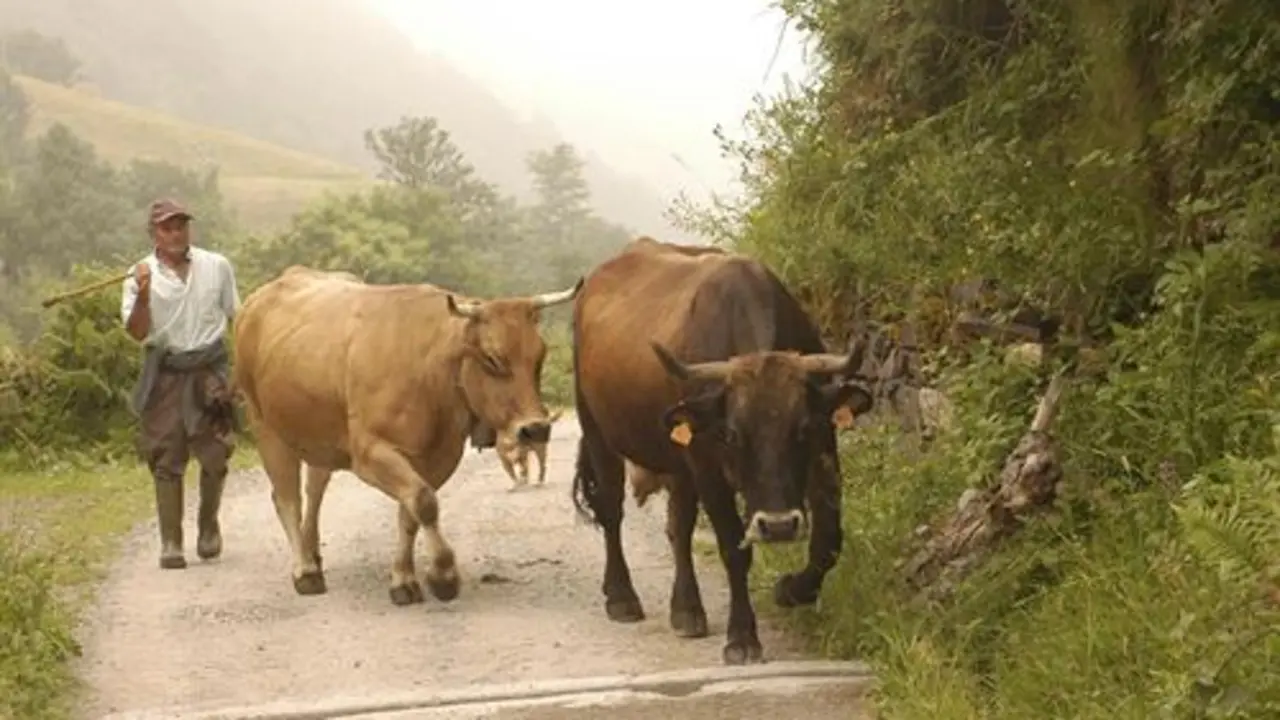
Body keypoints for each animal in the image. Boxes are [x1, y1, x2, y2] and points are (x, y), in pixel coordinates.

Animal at [232, 265, 581, 605]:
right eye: (493, 359)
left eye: (539, 357)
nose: (535, 428)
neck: (430, 369)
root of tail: (256, 302)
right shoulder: (370, 452)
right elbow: (424, 501)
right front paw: (443, 574)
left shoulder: (438, 457)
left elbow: (410, 511)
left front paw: (403, 579)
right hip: (265, 427)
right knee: (288, 498)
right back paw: (305, 571)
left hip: (320, 437)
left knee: (315, 490)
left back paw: (312, 554)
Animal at [570, 237, 890, 665]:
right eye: (733, 434)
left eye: (803, 429)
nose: (778, 526)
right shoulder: (708, 467)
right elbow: (734, 548)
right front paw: (741, 636)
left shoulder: (824, 451)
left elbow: (828, 539)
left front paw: (791, 589)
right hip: (597, 431)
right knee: (611, 511)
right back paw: (621, 597)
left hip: (677, 462)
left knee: (678, 526)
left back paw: (687, 610)